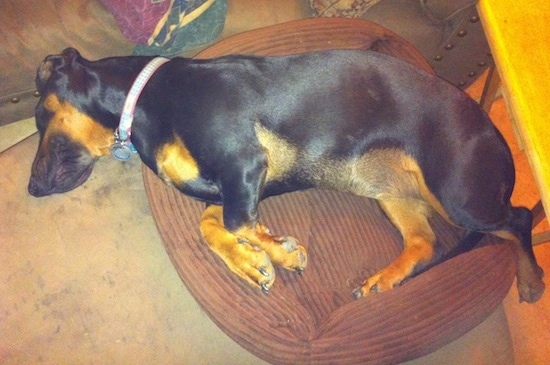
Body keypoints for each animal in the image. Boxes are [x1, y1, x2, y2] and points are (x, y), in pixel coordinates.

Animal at [28, 47, 544, 302]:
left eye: (39, 115)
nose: (31, 189)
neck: (144, 97)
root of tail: (495, 131)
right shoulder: (239, 184)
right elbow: (211, 225)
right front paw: (252, 262)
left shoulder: (244, 163)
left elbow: (235, 222)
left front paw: (280, 253)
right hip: (392, 194)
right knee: (425, 242)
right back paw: (385, 279)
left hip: (457, 193)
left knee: (519, 218)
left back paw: (530, 279)